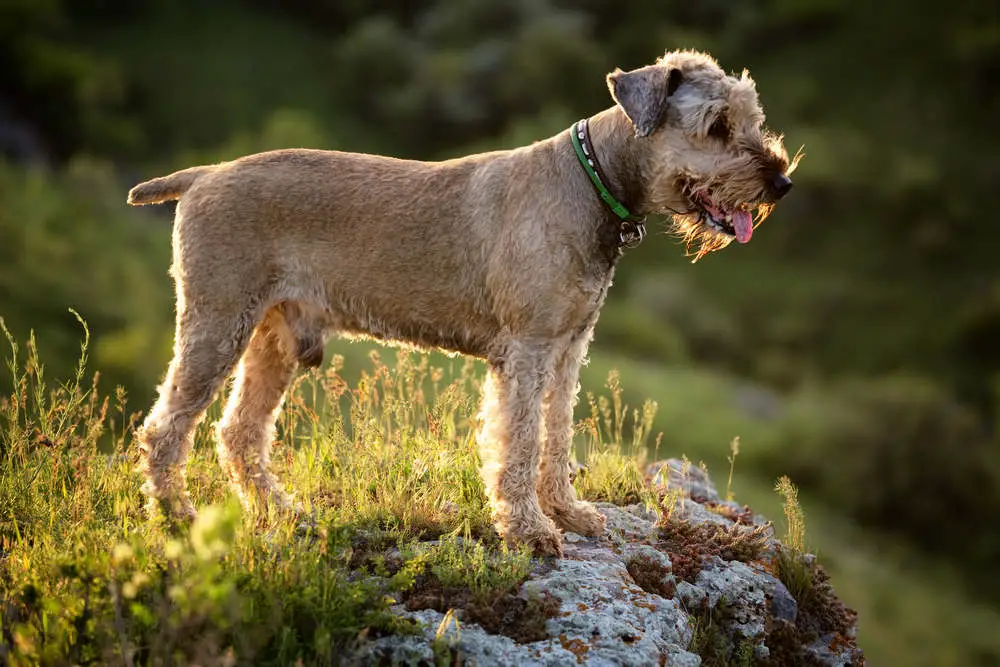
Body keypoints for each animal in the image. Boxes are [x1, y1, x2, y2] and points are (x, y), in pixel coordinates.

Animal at [127, 49, 796, 556]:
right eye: (717, 124)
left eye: (751, 117)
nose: (782, 181)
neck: (593, 181)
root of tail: (202, 175)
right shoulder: (527, 351)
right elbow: (520, 442)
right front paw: (529, 530)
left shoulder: (568, 350)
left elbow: (557, 435)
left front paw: (568, 512)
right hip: (216, 325)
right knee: (165, 429)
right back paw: (177, 518)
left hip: (272, 342)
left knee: (239, 433)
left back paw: (283, 512)